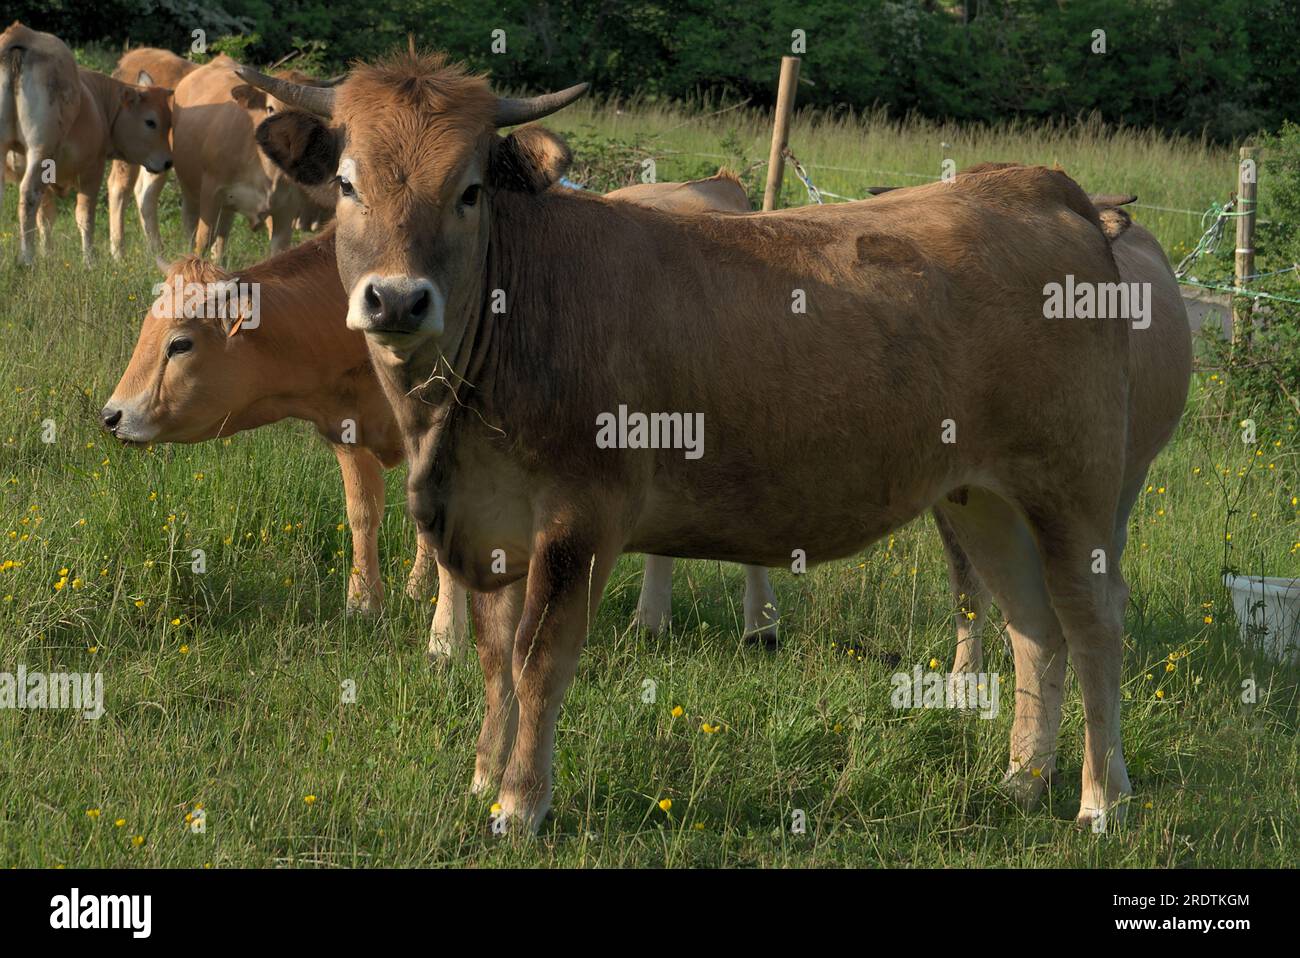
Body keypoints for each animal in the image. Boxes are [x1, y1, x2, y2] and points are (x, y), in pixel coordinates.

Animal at [0, 23, 172, 261]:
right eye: (151, 122)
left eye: (170, 122)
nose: (168, 162)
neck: (100, 102)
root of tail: (23, 34)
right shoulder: (92, 169)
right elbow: (85, 216)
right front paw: (89, 259)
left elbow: (45, 218)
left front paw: (47, 255)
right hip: (41, 151)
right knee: (28, 195)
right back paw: (27, 259)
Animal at [101, 170, 780, 649]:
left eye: (181, 342)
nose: (112, 415)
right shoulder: (348, 432)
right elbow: (365, 515)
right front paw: (371, 602)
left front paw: (442, 636)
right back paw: (651, 621)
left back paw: (760, 625)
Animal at [239, 54, 1154, 831]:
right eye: (348, 183)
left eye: (468, 191)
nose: (396, 299)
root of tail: (1035, 182)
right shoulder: (487, 519)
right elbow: (497, 657)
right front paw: (482, 778)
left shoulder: (581, 516)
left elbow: (541, 656)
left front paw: (521, 804)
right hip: (980, 494)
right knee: (1032, 626)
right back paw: (1022, 780)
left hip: (1072, 485)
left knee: (1092, 622)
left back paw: (1099, 800)